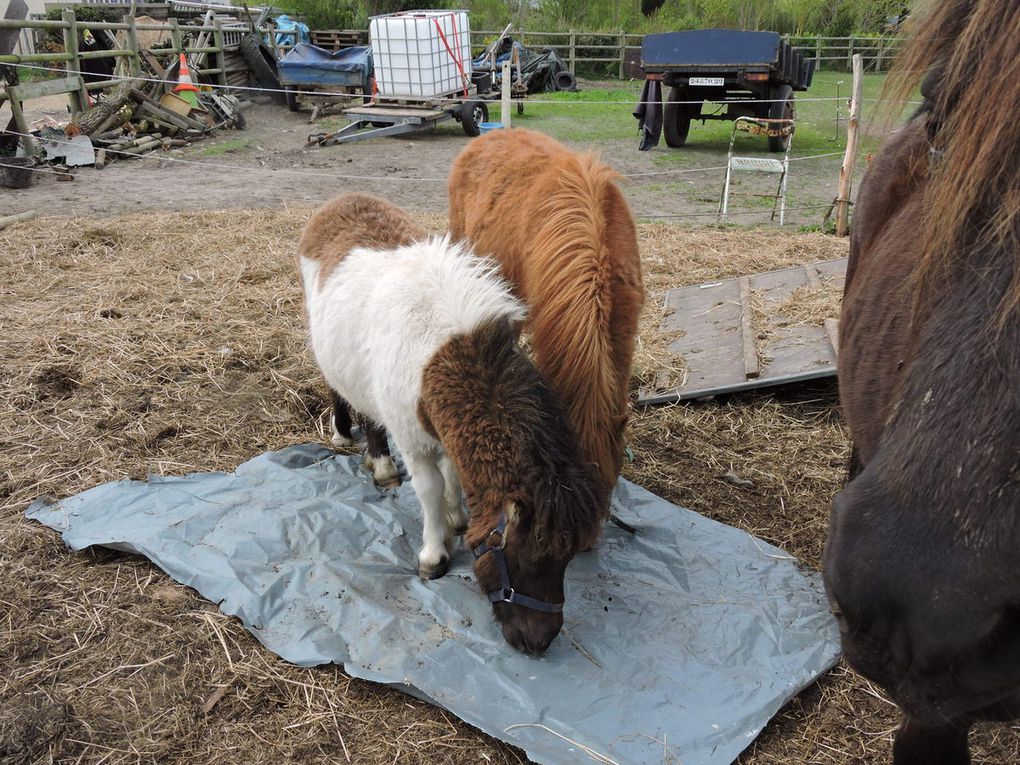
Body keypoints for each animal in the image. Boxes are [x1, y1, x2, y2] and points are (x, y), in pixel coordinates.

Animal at [295, 194, 599, 656]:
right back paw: (365, 450)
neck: (441, 355)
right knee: (339, 389)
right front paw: (434, 552)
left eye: (565, 561)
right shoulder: (412, 439)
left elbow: (453, 471)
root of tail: (341, 202)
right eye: (526, 558)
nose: (540, 641)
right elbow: (429, 487)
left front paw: (457, 517)